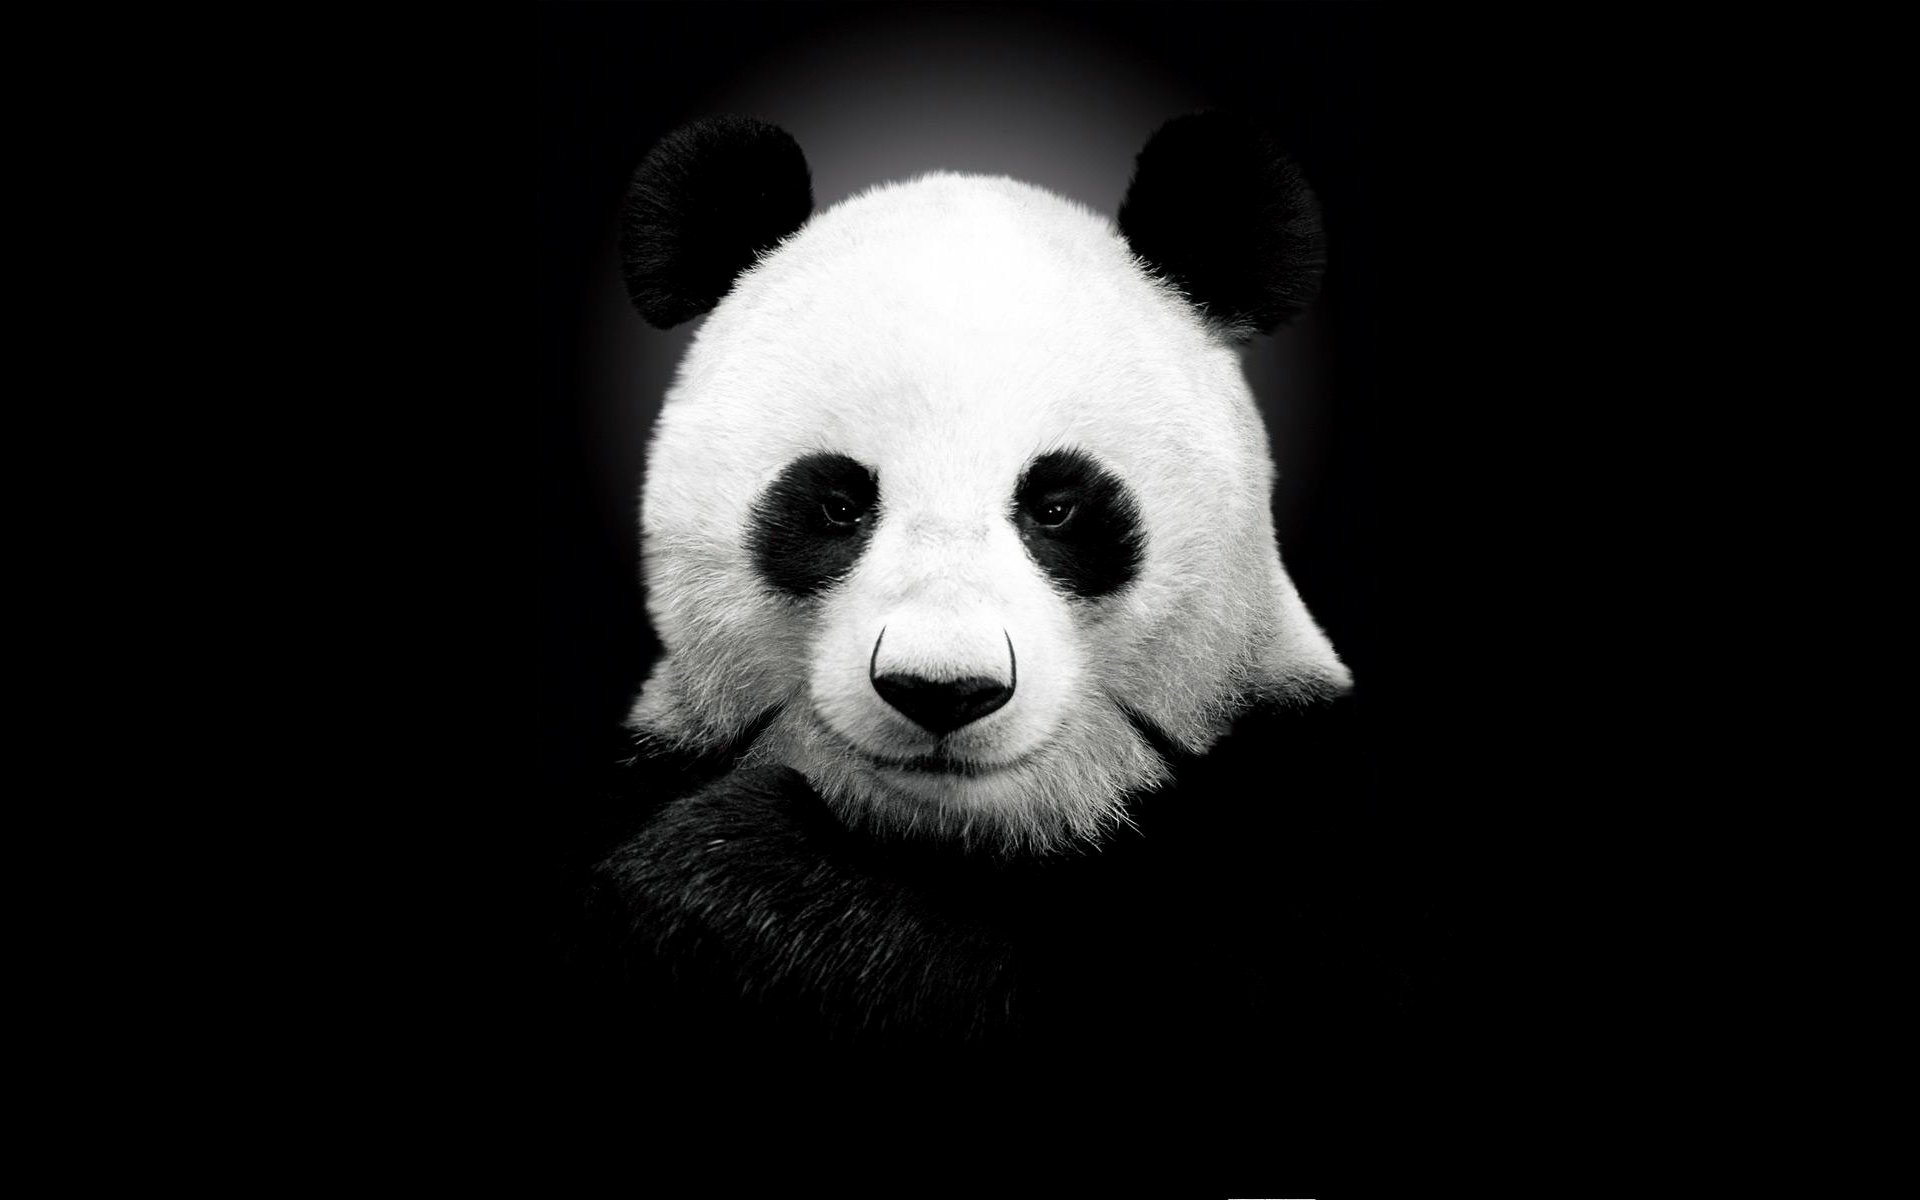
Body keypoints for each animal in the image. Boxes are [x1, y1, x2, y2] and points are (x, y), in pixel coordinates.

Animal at [579, 114, 1411, 1066]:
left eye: (1057, 506)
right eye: (837, 505)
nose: (943, 691)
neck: (960, 838)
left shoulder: (1297, 822)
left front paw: (734, 879)